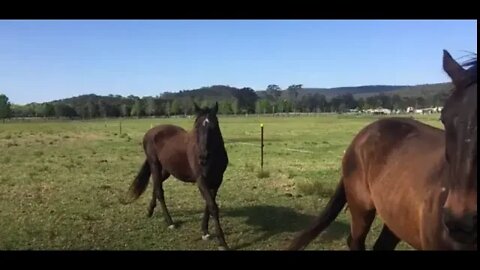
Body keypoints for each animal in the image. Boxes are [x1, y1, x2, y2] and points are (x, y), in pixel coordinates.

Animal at [125, 102, 231, 250]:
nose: (202, 157)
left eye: (214, 126)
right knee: (159, 191)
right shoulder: (201, 181)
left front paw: (205, 231)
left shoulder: (216, 181)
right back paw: (170, 222)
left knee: (156, 186)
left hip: (166, 170)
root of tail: (151, 132)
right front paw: (222, 242)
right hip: (154, 164)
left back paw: (150, 211)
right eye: (196, 127)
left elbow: (209, 206)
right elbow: (213, 207)